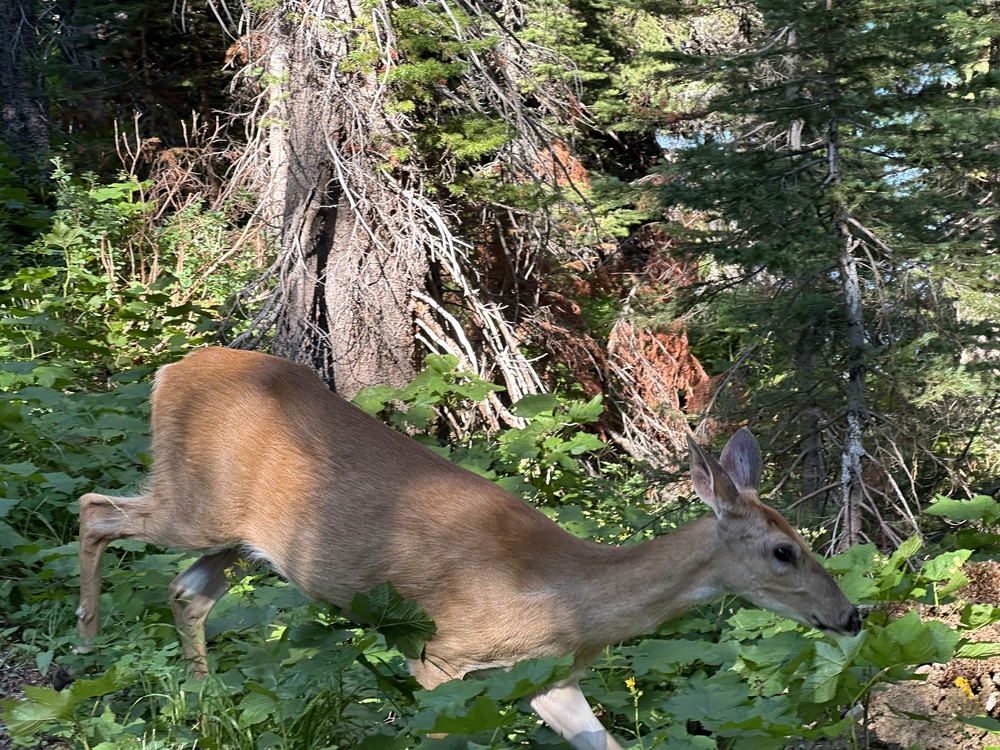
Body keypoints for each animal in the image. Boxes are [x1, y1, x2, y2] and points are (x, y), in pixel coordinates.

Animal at [77, 347, 861, 750]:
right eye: (784, 552)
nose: (851, 616)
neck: (564, 598)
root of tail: (171, 369)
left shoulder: (546, 678)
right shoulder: (438, 656)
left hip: (240, 538)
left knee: (185, 590)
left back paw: (206, 703)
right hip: (195, 502)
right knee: (93, 511)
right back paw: (87, 646)